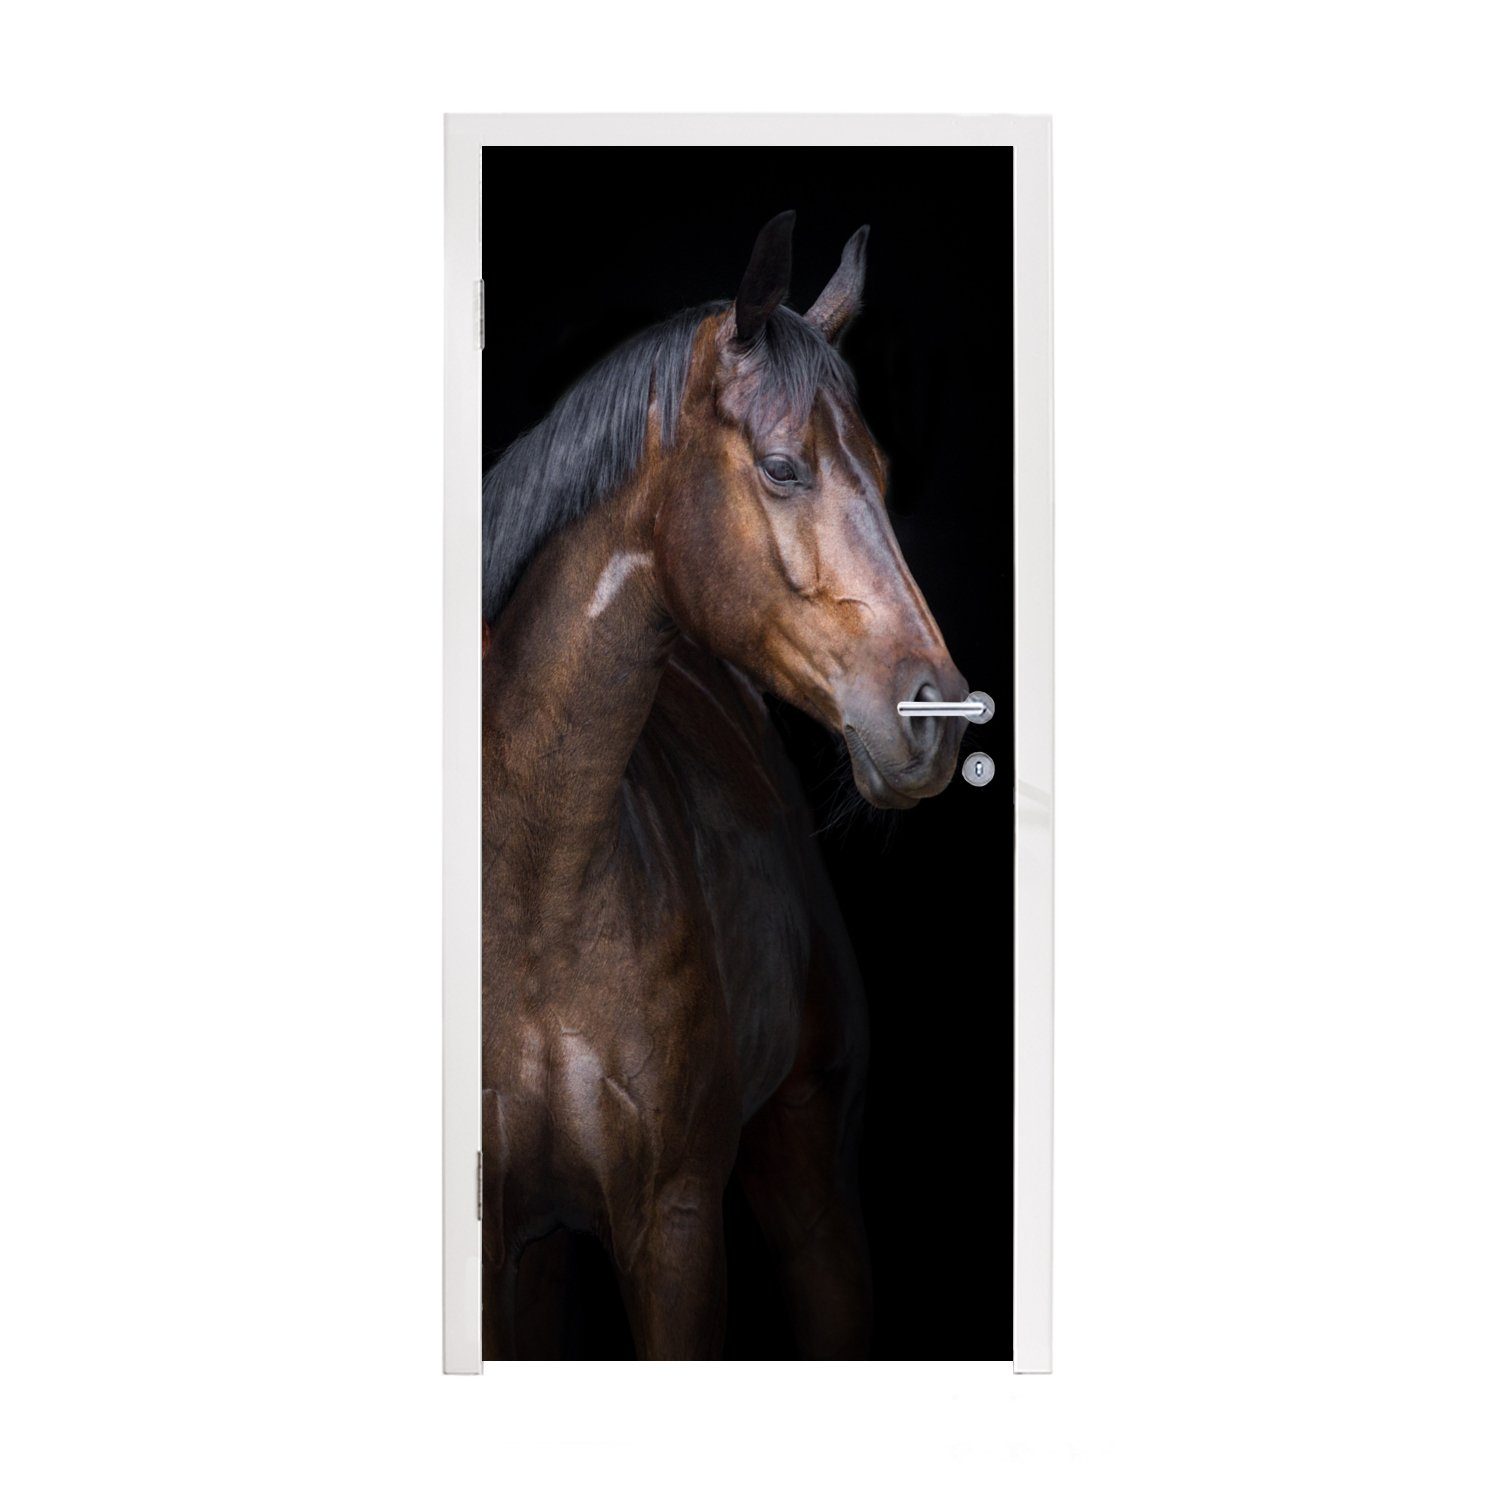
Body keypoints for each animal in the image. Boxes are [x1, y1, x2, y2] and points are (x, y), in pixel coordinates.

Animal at [480, 211, 969, 1359]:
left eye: (883, 470)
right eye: (785, 468)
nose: (936, 718)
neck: (529, 882)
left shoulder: (676, 1225)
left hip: (813, 1200)